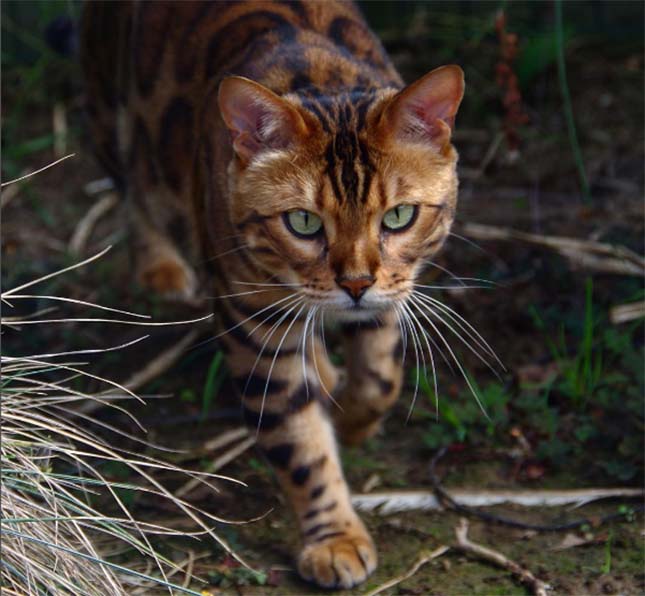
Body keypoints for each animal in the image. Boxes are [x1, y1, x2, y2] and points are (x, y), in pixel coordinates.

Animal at [82, 1, 462, 592]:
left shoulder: (391, 292)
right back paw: (159, 268)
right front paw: (335, 539)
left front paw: (353, 419)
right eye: (303, 222)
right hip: (111, 111)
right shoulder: (253, 324)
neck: (324, 78)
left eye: (399, 216)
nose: (355, 283)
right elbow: (300, 442)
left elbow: (380, 377)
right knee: (133, 187)